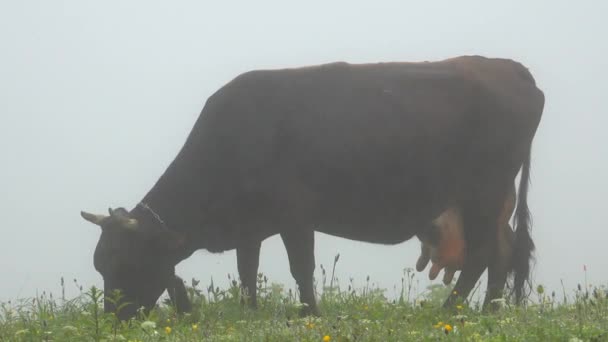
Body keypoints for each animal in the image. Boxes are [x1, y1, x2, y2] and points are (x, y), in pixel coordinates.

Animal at [82, 54, 548, 320]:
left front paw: (310, 313)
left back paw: (452, 312)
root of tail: (510, 67)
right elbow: (247, 270)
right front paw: (250, 312)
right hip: (488, 201)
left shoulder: (294, 215)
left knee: (483, 254)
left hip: (484, 192)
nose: (114, 320)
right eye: (101, 266)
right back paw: (490, 313)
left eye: (125, 263)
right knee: (503, 252)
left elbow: (300, 267)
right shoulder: (250, 226)